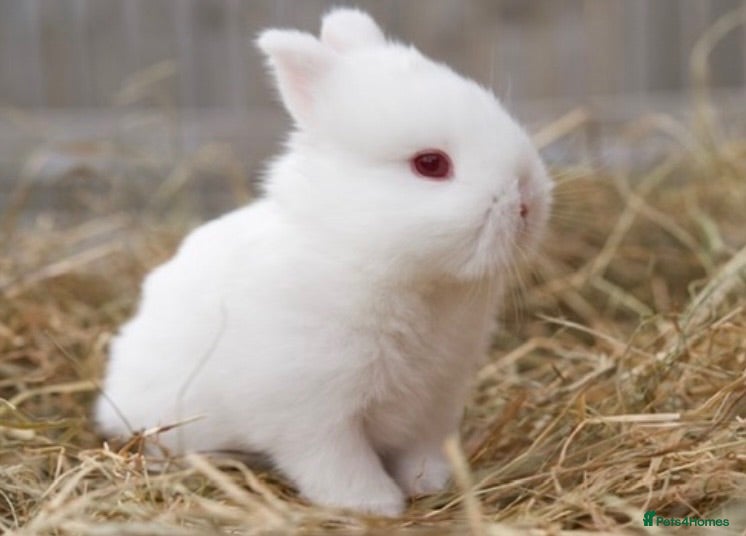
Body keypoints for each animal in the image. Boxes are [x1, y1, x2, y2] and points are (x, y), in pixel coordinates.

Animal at [95, 7, 552, 517]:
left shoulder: (435, 400)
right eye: (430, 164)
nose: (528, 202)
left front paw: (431, 484)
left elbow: (421, 450)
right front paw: (375, 505)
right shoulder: (314, 410)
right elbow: (338, 462)